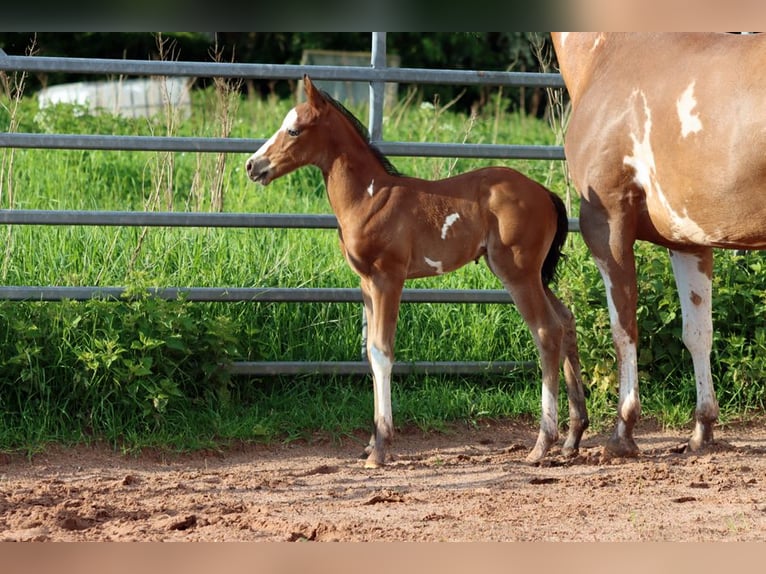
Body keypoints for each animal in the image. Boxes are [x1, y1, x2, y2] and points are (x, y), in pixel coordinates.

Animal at [245, 74, 588, 468]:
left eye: (294, 130)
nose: (252, 166)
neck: (369, 198)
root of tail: (546, 194)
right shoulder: (366, 284)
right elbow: (369, 352)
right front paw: (370, 443)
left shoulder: (388, 280)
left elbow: (382, 352)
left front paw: (380, 448)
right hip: (534, 274)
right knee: (565, 320)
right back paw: (573, 437)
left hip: (517, 273)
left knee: (546, 331)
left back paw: (542, 444)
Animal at [551, 32, 766, 458]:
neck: (606, 54)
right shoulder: (689, 240)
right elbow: (698, 333)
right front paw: (702, 430)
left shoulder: (606, 224)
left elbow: (624, 328)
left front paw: (622, 432)